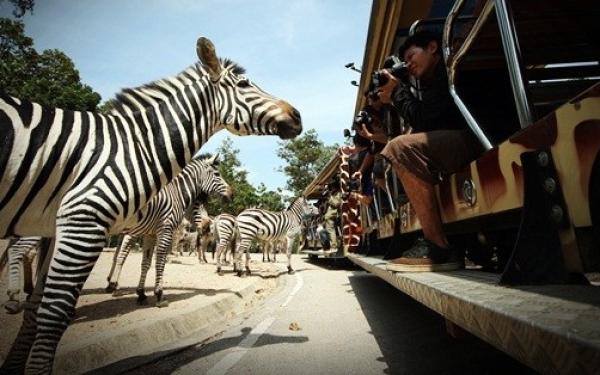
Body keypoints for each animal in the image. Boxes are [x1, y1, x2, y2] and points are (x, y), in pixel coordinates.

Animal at [105, 154, 232, 306]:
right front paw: (159, 293)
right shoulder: (160, 231)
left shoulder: (150, 234)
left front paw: (140, 293)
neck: (175, 195)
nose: (231, 193)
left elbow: (146, 263)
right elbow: (153, 259)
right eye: (197, 204)